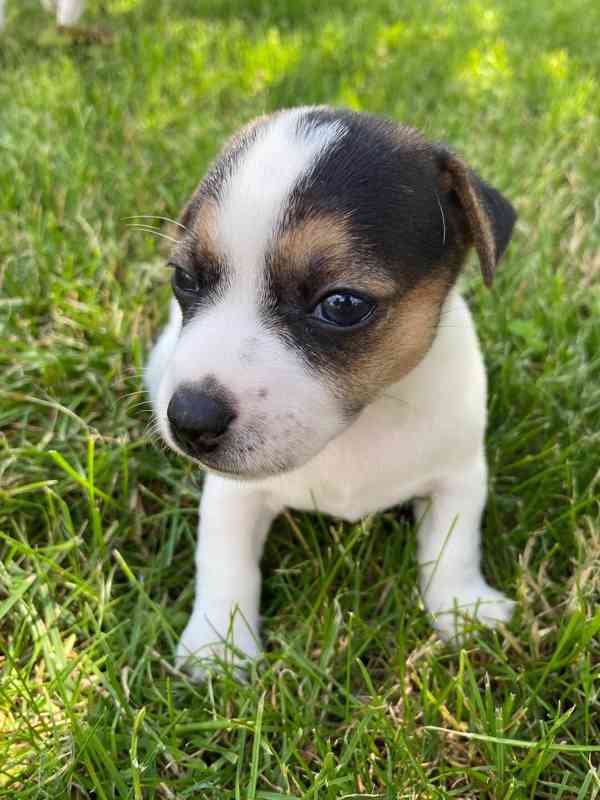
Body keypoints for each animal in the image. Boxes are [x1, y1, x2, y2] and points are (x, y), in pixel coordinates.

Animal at [144, 106, 516, 680]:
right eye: (184, 278)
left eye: (342, 305)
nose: (188, 419)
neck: (359, 427)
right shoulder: (232, 495)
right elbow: (225, 561)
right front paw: (218, 646)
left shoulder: (459, 475)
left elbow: (453, 545)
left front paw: (462, 608)